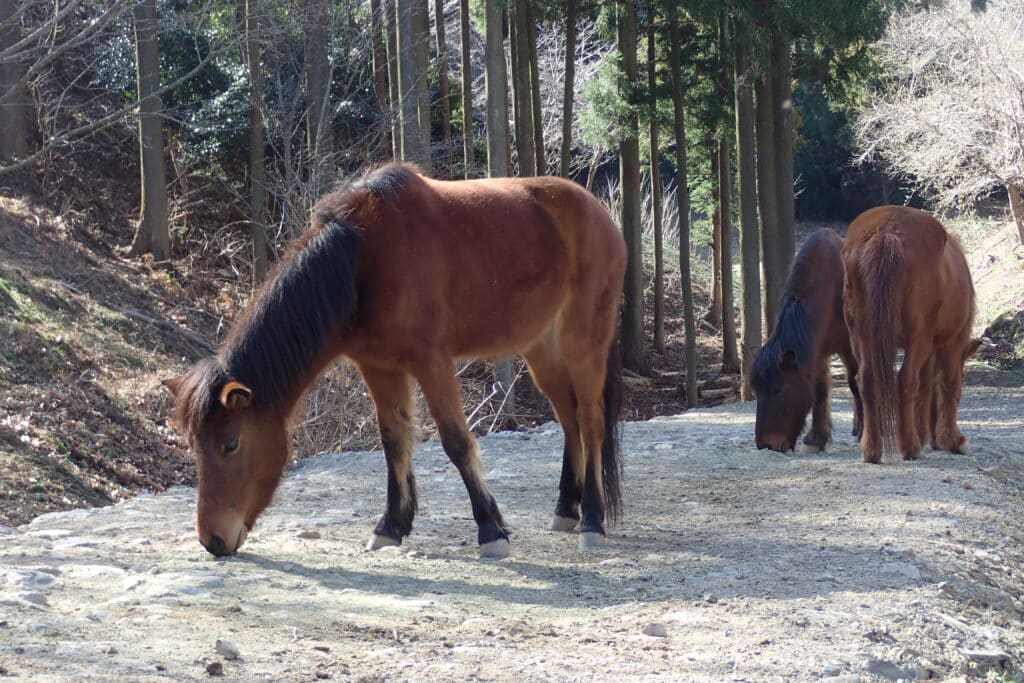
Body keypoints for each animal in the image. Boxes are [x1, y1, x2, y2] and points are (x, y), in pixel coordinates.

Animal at [163, 163, 627, 559]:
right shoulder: (379, 366)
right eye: (194, 445)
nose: (212, 540)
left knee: (589, 421)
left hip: (583, 341)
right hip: (540, 349)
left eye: (230, 444)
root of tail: (600, 213)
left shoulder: (431, 361)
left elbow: (456, 441)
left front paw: (490, 529)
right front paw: (391, 526)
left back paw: (592, 520)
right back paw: (566, 510)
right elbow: (394, 440)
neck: (361, 261)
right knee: (569, 419)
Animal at [751, 228, 863, 452]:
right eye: (756, 390)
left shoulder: (850, 347)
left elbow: (855, 383)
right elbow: (819, 389)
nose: (767, 445)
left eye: (778, 389)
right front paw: (817, 438)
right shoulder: (815, 352)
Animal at [841, 206, 981, 464]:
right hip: (918, 338)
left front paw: (925, 433)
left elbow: (926, 386)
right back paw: (909, 447)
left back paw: (872, 449)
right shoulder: (952, 342)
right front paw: (953, 440)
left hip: (861, 336)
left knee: (866, 380)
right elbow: (948, 384)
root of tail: (885, 231)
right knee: (906, 379)